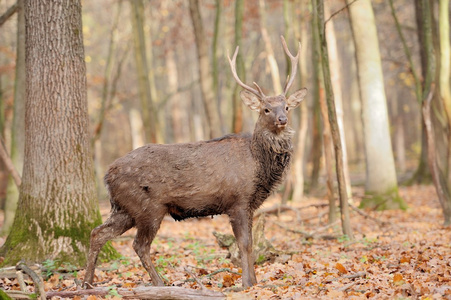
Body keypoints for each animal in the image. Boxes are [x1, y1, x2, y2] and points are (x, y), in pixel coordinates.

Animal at [83, 35, 308, 288]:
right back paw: (159, 283)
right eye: (266, 109)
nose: (282, 119)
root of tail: (107, 175)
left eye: (286, 106)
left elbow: (250, 243)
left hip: (124, 208)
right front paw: (247, 284)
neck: (258, 163)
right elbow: (244, 244)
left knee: (98, 233)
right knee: (139, 245)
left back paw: (86, 283)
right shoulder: (237, 200)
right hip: (148, 207)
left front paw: (255, 281)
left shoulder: (250, 205)